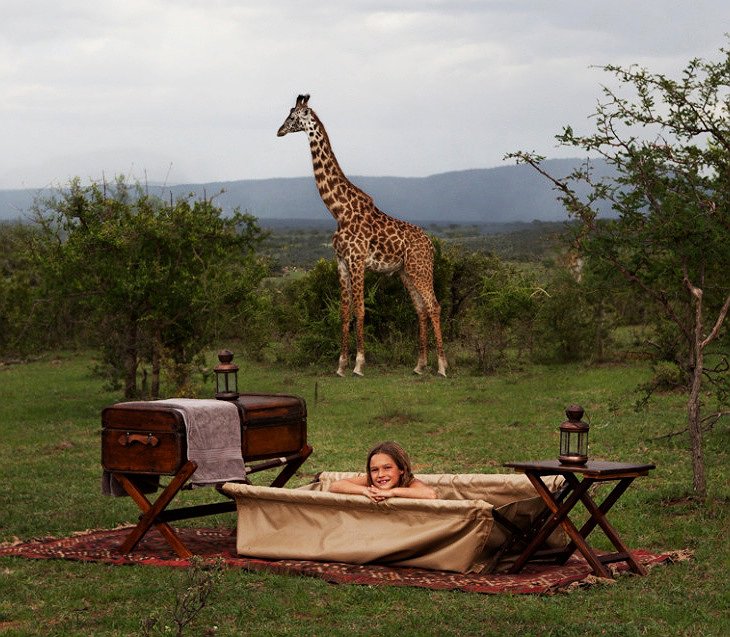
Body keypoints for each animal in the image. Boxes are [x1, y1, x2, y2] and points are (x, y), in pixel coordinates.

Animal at [276, 92, 446, 376]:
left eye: (292, 117)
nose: (279, 131)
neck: (339, 210)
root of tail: (431, 245)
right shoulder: (342, 262)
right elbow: (345, 312)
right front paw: (340, 365)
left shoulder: (357, 261)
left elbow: (361, 310)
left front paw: (358, 364)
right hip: (406, 272)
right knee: (421, 309)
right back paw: (420, 365)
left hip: (420, 269)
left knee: (434, 306)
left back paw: (443, 367)